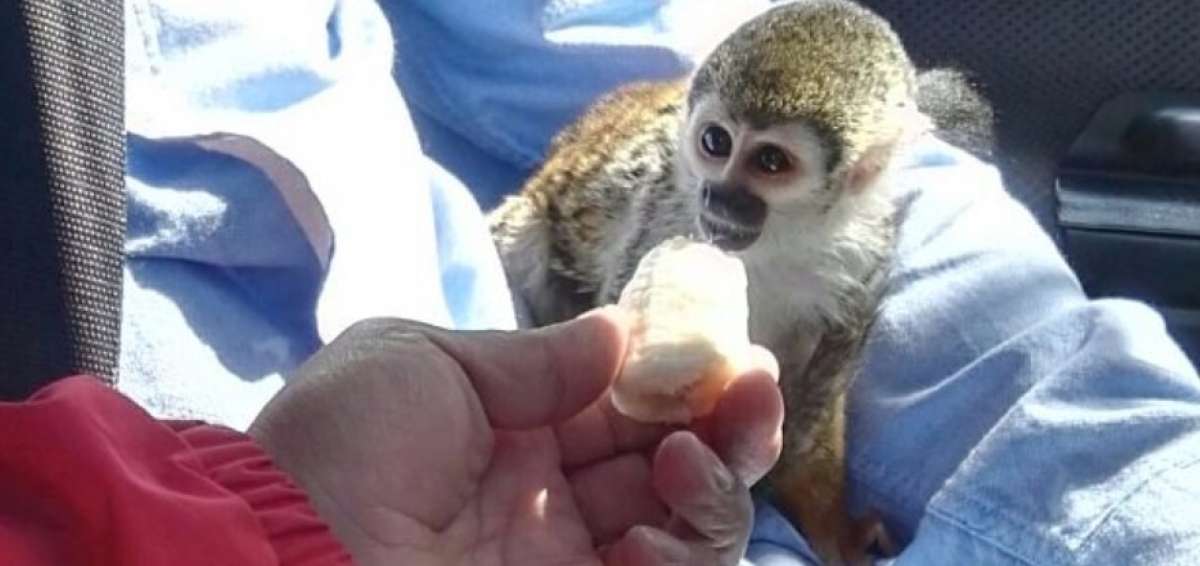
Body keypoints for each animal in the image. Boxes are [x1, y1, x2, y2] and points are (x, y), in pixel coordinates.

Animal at [488, 1, 992, 563]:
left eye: (770, 161)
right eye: (716, 142)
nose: (719, 198)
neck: (780, 240)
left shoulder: (863, 257)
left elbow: (821, 388)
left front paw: (827, 524)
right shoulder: (661, 217)